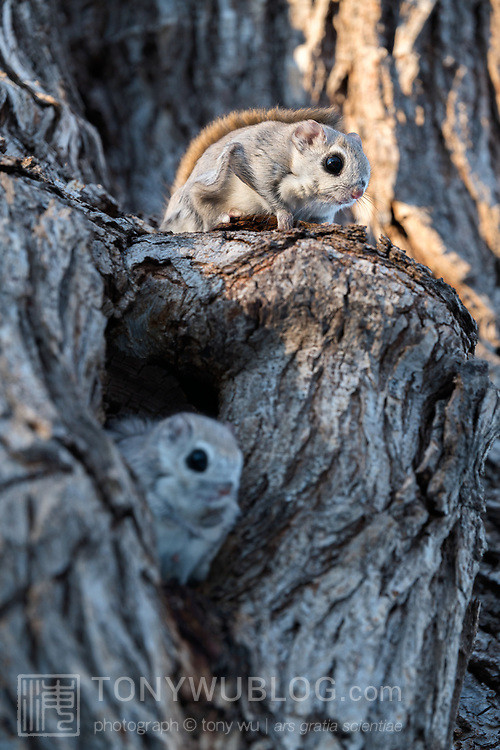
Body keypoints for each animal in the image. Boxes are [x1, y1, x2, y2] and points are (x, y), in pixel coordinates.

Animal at [108, 413, 243, 584]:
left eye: (239, 457)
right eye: (198, 458)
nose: (226, 490)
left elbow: (226, 512)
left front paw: (214, 518)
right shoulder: (143, 486)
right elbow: (167, 512)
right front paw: (191, 526)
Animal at [160, 107, 370, 233]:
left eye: (368, 170)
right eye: (333, 163)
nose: (357, 193)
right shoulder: (254, 163)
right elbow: (268, 193)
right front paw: (284, 218)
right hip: (209, 183)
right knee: (198, 201)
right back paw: (224, 215)